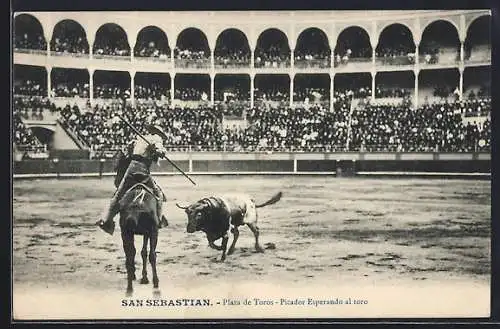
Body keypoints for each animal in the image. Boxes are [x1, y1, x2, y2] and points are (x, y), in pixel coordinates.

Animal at [114, 152, 161, 296]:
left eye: (119, 165)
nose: (116, 182)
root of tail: (136, 204)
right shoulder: (149, 232)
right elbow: (145, 252)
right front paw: (145, 278)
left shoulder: (143, 232)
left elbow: (142, 252)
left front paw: (143, 277)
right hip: (152, 231)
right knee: (151, 255)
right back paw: (155, 283)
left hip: (127, 232)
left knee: (131, 256)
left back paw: (130, 288)